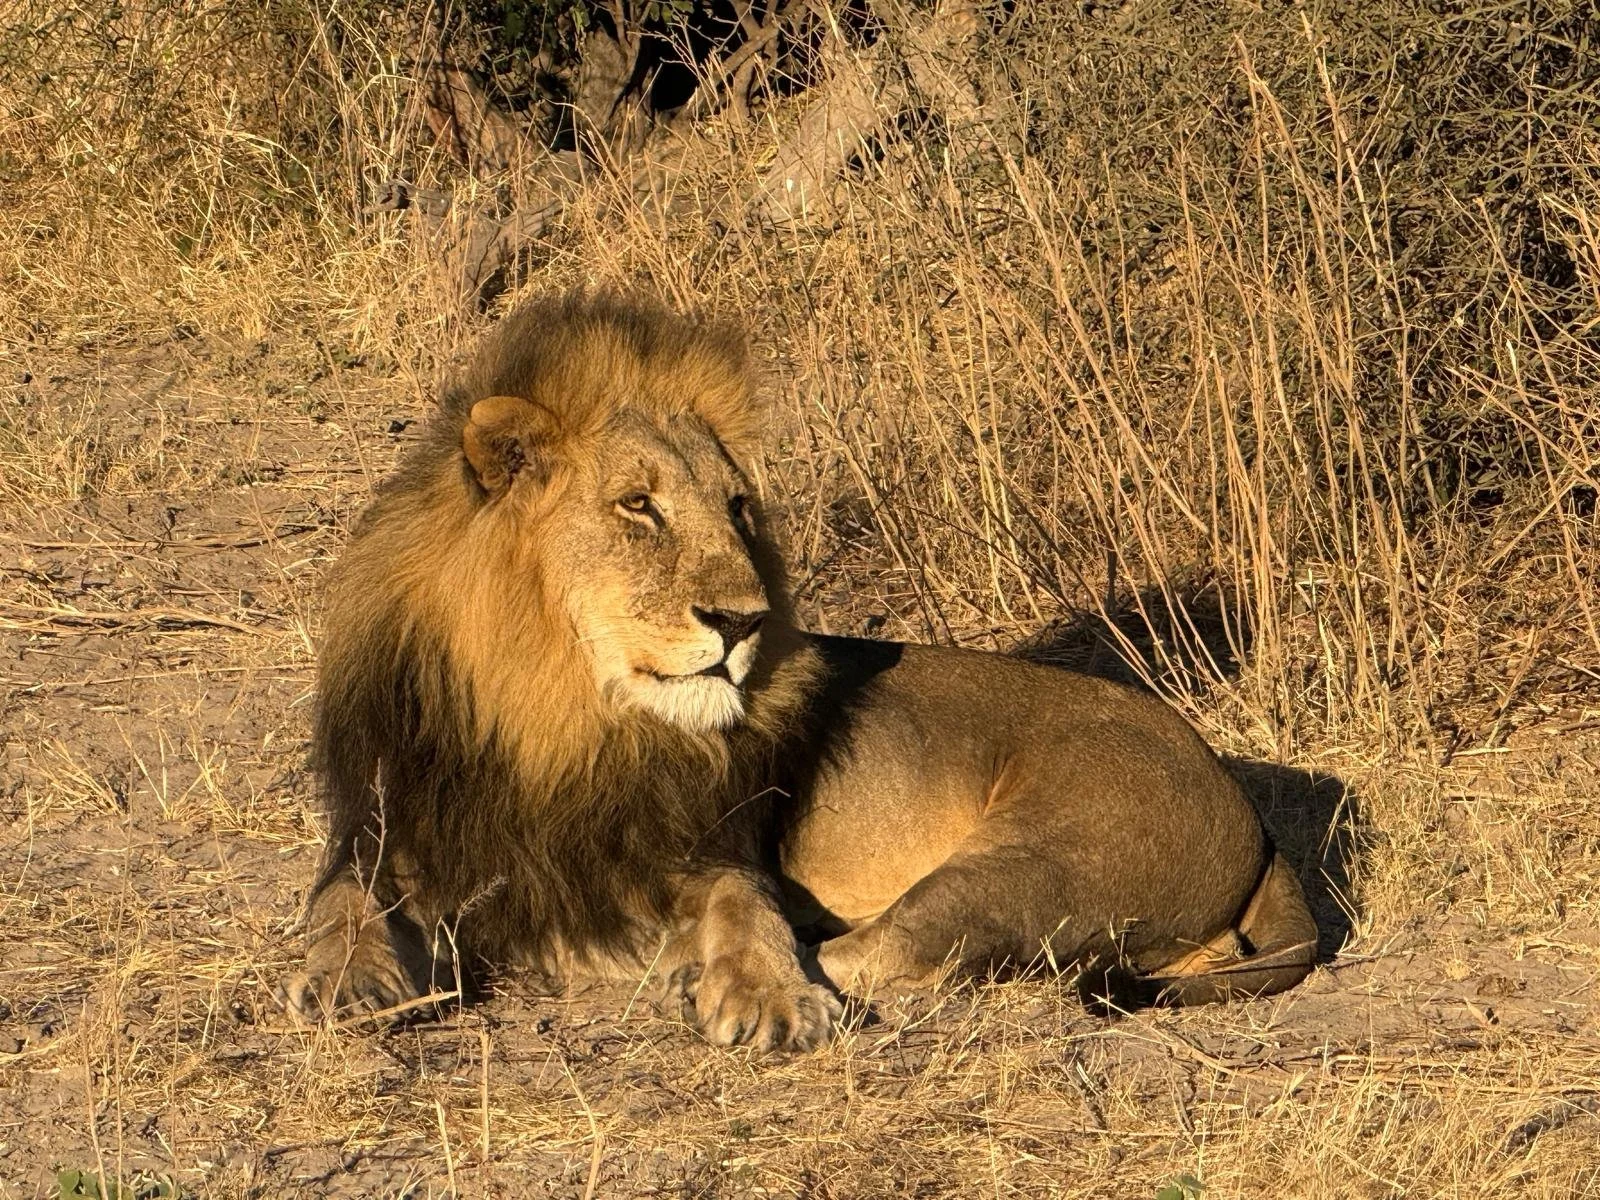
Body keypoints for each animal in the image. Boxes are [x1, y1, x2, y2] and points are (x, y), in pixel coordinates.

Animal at [277, 292, 1318, 1050]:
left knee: (883, 948)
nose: (743, 620)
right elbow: (338, 903)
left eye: (737, 507)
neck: (560, 713)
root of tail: (1245, 804)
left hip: (1033, 864)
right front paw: (343, 983)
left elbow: (748, 907)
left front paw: (767, 995)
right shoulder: (396, 828)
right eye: (638, 506)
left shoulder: (711, 846)